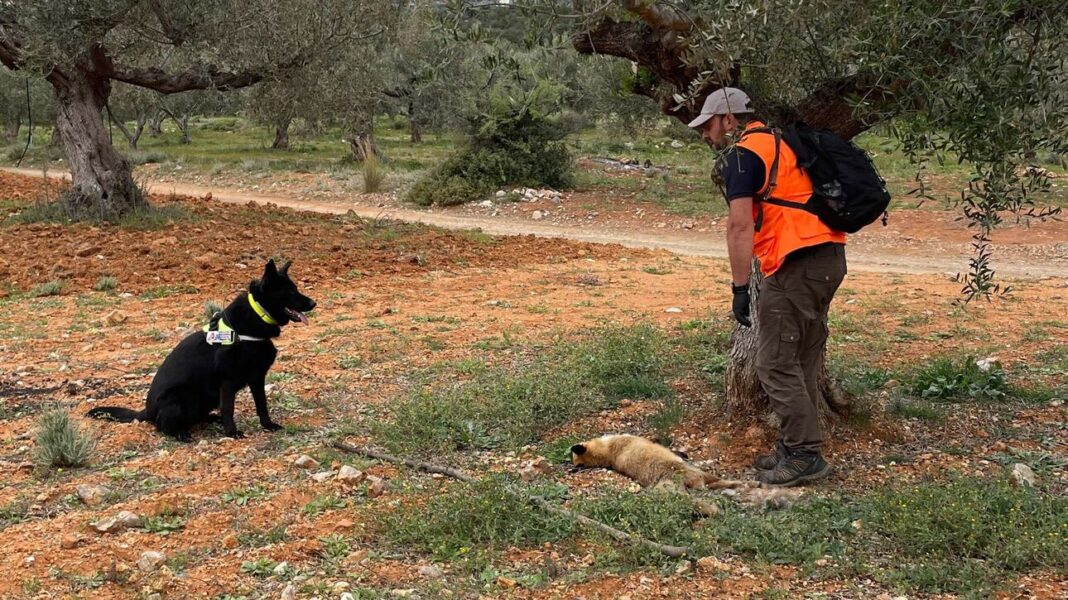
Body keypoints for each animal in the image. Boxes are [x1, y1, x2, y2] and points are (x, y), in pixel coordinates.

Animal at [89, 258, 313, 439]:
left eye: (295, 288)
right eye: (290, 291)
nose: (314, 303)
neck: (255, 318)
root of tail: (147, 411)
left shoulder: (257, 378)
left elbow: (262, 405)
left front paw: (268, 425)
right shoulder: (228, 383)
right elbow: (229, 409)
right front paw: (232, 432)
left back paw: (211, 419)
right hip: (181, 397)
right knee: (163, 425)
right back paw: (181, 433)